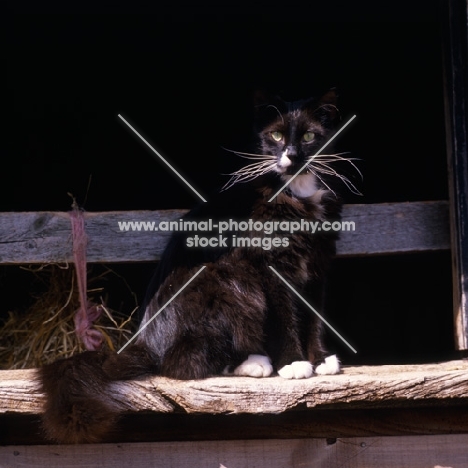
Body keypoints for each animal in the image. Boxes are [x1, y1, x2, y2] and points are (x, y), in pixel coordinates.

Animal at [37, 88, 358, 442]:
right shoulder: (269, 267)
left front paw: (321, 360)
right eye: (275, 136)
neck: (296, 195)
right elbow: (285, 318)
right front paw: (294, 363)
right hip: (228, 281)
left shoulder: (317, 267)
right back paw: (255, 362)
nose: (292, 155)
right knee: (181, 363)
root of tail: (144, 343)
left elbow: (314, 317)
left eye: (310, 136)